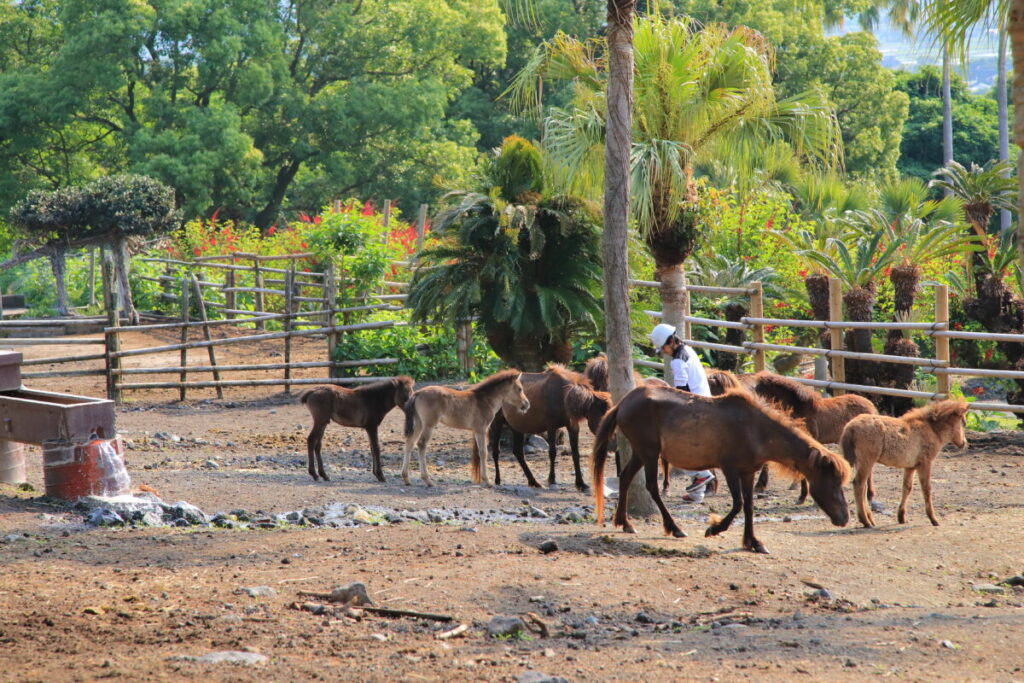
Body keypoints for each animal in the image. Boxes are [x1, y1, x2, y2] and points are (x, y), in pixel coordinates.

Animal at [402, 369, 531, 486]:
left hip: (419, 423)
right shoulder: (481, 429)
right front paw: (487, 481)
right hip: (429, 425)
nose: (527, 404)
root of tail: (418, 393)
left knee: (409, 443)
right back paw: (428, 480)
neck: (485, 400)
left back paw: (406, 479)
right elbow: (483, 452)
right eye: (520, 389)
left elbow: (480, 452)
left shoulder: (477, 431)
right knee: (421, 444)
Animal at [592, 384, 850, 554]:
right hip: (649, 452)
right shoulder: (730, 469)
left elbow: (749, 506)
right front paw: (714, 529)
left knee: (625, 478)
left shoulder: (748, 472)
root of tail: (623, 402)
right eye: (833, 482)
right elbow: (737, 504)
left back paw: (625, 523)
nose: (844, 518)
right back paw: (674, 528)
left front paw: (753, 542)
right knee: (652, 487)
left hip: (640, 452)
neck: (756, 429)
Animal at [841, 400, 968, 528]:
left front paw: (901, 517)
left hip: (861, 462)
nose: (964, 443)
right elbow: (927, 489)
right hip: (867, 461)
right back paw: (865, 521)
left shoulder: (910, 467)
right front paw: (933, 519)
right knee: (859, 484)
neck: (932, 429)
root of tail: (850, 427)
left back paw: (870, 519)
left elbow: (907, 488)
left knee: (863, 486)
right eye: (963, 422)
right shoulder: (925, 463)